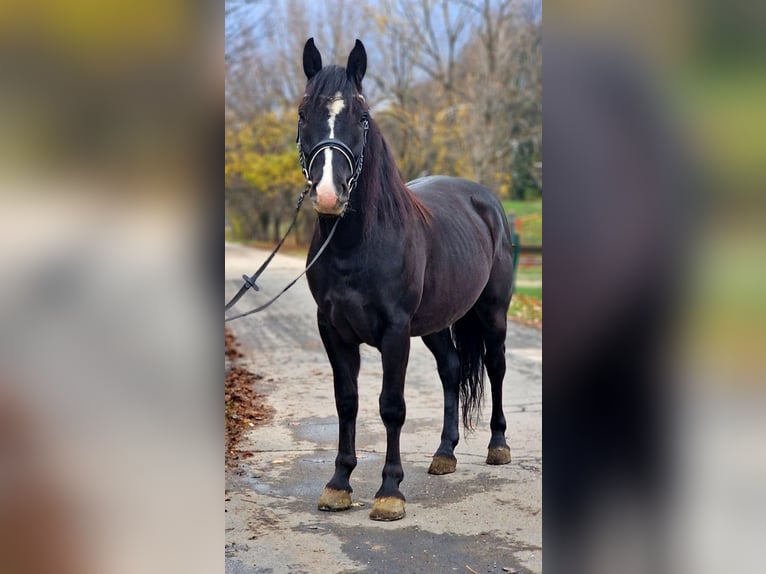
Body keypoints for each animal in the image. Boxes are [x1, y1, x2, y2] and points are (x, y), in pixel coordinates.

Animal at [299, 38, 514, 521]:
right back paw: (445, 454)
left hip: (493, 314)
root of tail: (485, 201)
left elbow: (391, 407)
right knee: (451, 370)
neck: (356, 245)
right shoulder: (332, 331)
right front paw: (338, 485)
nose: (328, 194)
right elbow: (347, 402)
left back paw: (498, 446)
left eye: (361, 117)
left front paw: (389, 492)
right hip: (435, 323)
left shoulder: (395, 332)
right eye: (303, 114)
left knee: (495, 366)